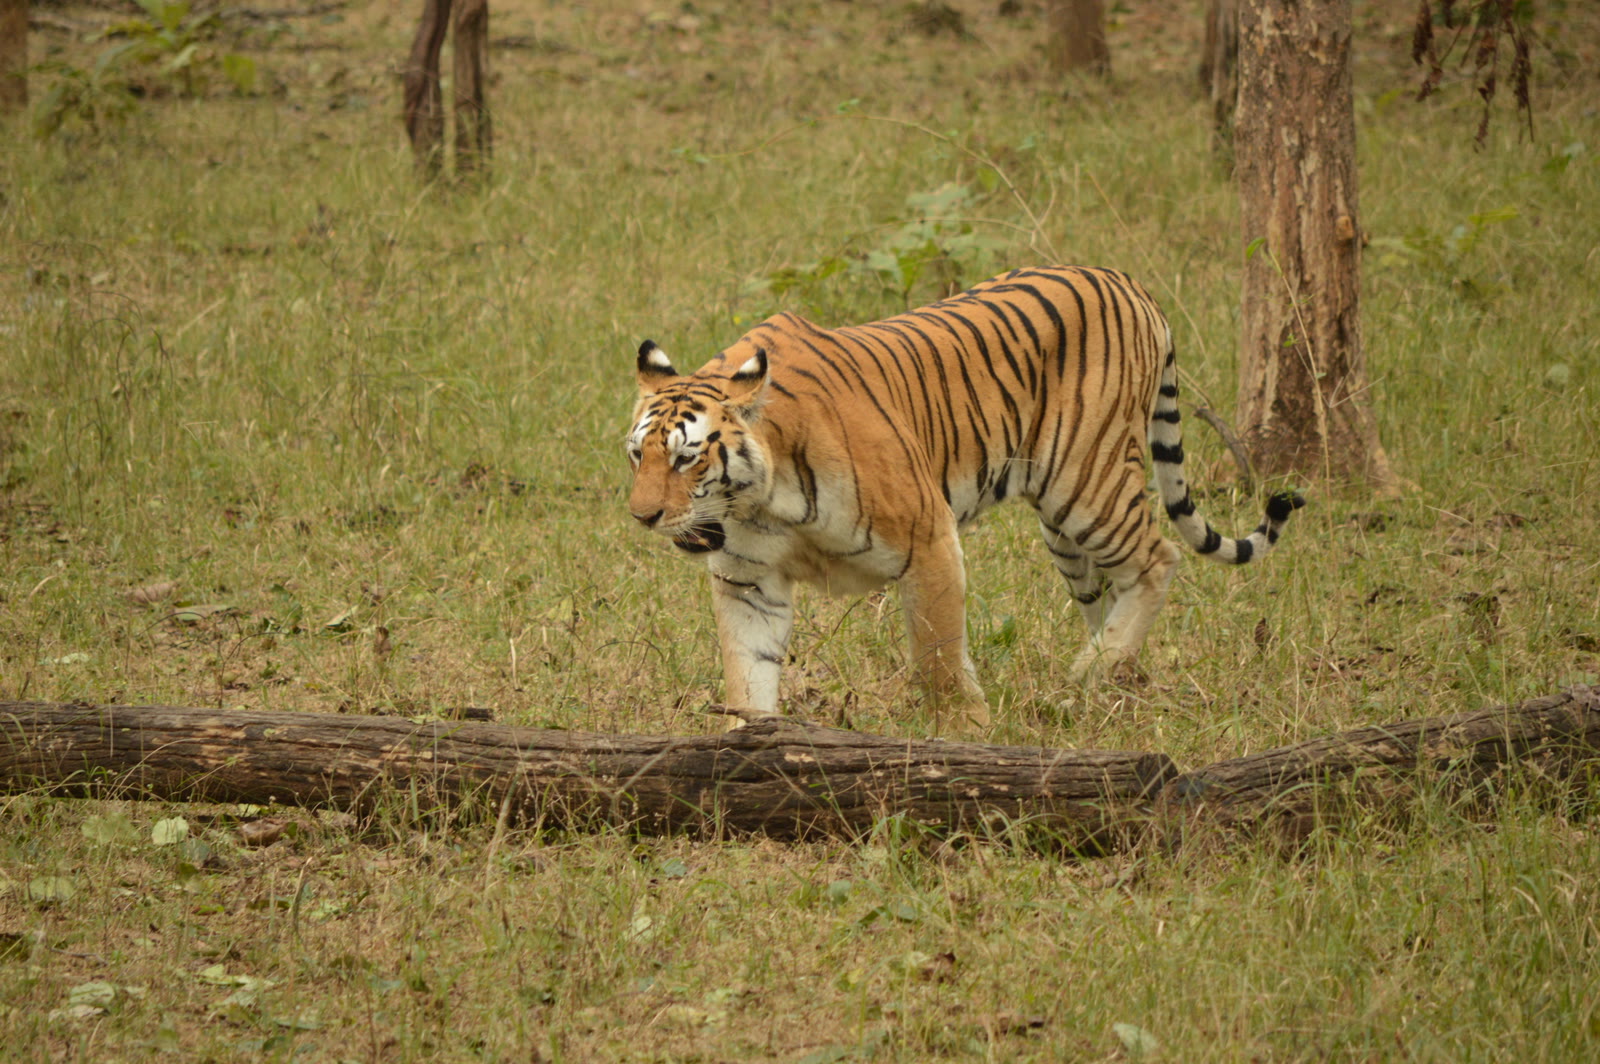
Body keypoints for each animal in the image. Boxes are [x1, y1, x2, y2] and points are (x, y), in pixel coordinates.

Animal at [624, 265, 1303, 733]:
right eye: (638, 455)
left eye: (687, 457)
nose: (642, 515)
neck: (759, 500)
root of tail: (1127, 281)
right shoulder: (747, 579)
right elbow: (749, 671)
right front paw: (748, 747)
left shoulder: (928, 539)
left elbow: (938, 652)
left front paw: (965, 730)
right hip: (1065, 531)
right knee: (1114, 591)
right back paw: (1108, 678)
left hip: (1089, 486)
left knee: (1159, 558)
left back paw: (1090, 673)